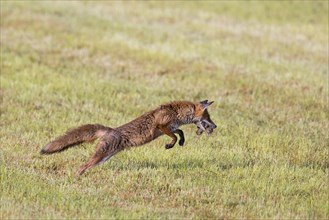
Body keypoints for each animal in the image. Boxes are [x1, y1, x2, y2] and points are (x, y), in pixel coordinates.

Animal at [40, 100, 215, 175]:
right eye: (208, 116)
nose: (215, 126)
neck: (176, 112)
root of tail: (110, 130)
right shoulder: (161, 126)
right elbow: (174, 135)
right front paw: (170, 145)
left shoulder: (171, 127)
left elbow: (180, 132)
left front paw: (181, 142)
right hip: (101, 156)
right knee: (82, 167)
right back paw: (77, 177)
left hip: (104, 158)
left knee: (85, 166)